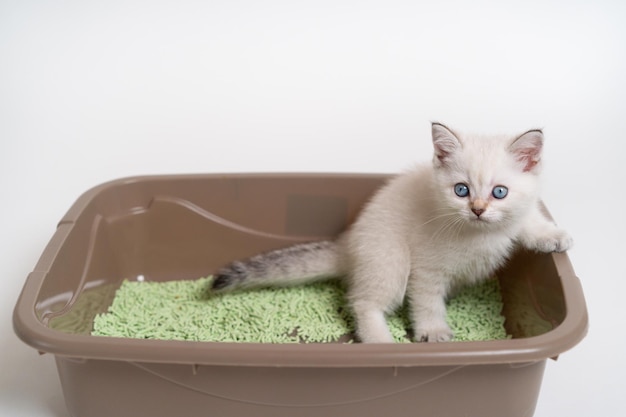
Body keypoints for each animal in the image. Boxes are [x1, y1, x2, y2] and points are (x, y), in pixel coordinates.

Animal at [210, 122, 572, 342]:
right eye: (461, 190)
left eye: (499, 192)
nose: (478, 210)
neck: (479, 233)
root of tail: (347, 243)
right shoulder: (426, 268)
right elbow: (426, 301)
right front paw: (433, 330)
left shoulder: (518, 211)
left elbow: (529, 219)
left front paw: (553, 237)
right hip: (390, 260)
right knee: (363, 302)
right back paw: (380, 341)